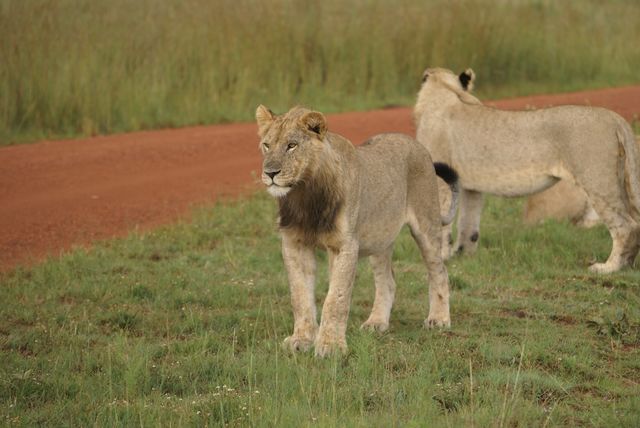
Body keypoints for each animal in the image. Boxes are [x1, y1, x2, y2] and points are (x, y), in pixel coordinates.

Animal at [255, 104, 460, 358]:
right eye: (267, 145)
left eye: (292, 145)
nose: (270, 173)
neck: (304, 195)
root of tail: (414, 142)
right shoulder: (294, 243)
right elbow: (300, 296)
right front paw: (301, 340)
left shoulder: (345, 245)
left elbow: (336, 298)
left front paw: (330, 346)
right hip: (379, 239)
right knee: (387, 281)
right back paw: (376, 322)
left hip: (426, 225)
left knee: (439, 271)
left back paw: (439, 319)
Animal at [416, 67, 640, 274]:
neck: (443, 91)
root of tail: (615, 118)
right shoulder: (471, 188)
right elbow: (468, 225)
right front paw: (463, 256)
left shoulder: (441, 179)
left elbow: (441, 222)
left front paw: (441, 257)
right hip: (620, 181)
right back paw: (627, 265)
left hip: (597, 181)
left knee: (626, 226)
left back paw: (609, 268)